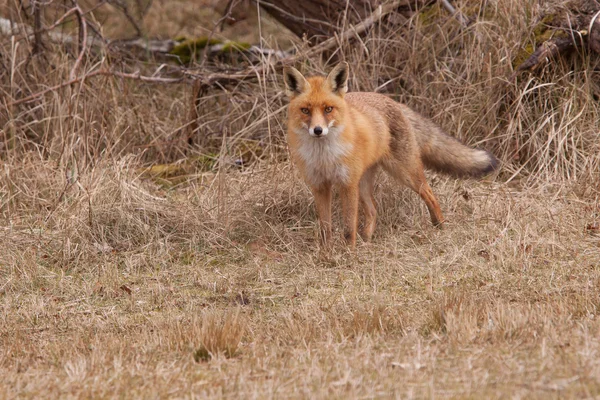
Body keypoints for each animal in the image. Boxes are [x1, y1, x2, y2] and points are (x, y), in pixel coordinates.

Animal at [284, 61, 500, 250]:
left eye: (328, 109)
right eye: (305, 110)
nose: (318, 130)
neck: (324, 157)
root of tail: (392, 100)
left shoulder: (347, 184)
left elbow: (348, 228)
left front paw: (348, 254)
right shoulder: (320, 186)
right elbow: (325, 228)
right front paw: (326, 253)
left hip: (405, 173)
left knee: (429, 193)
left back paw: (440, 226)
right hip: (364, 183)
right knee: (373, 210)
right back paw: (367, 239)